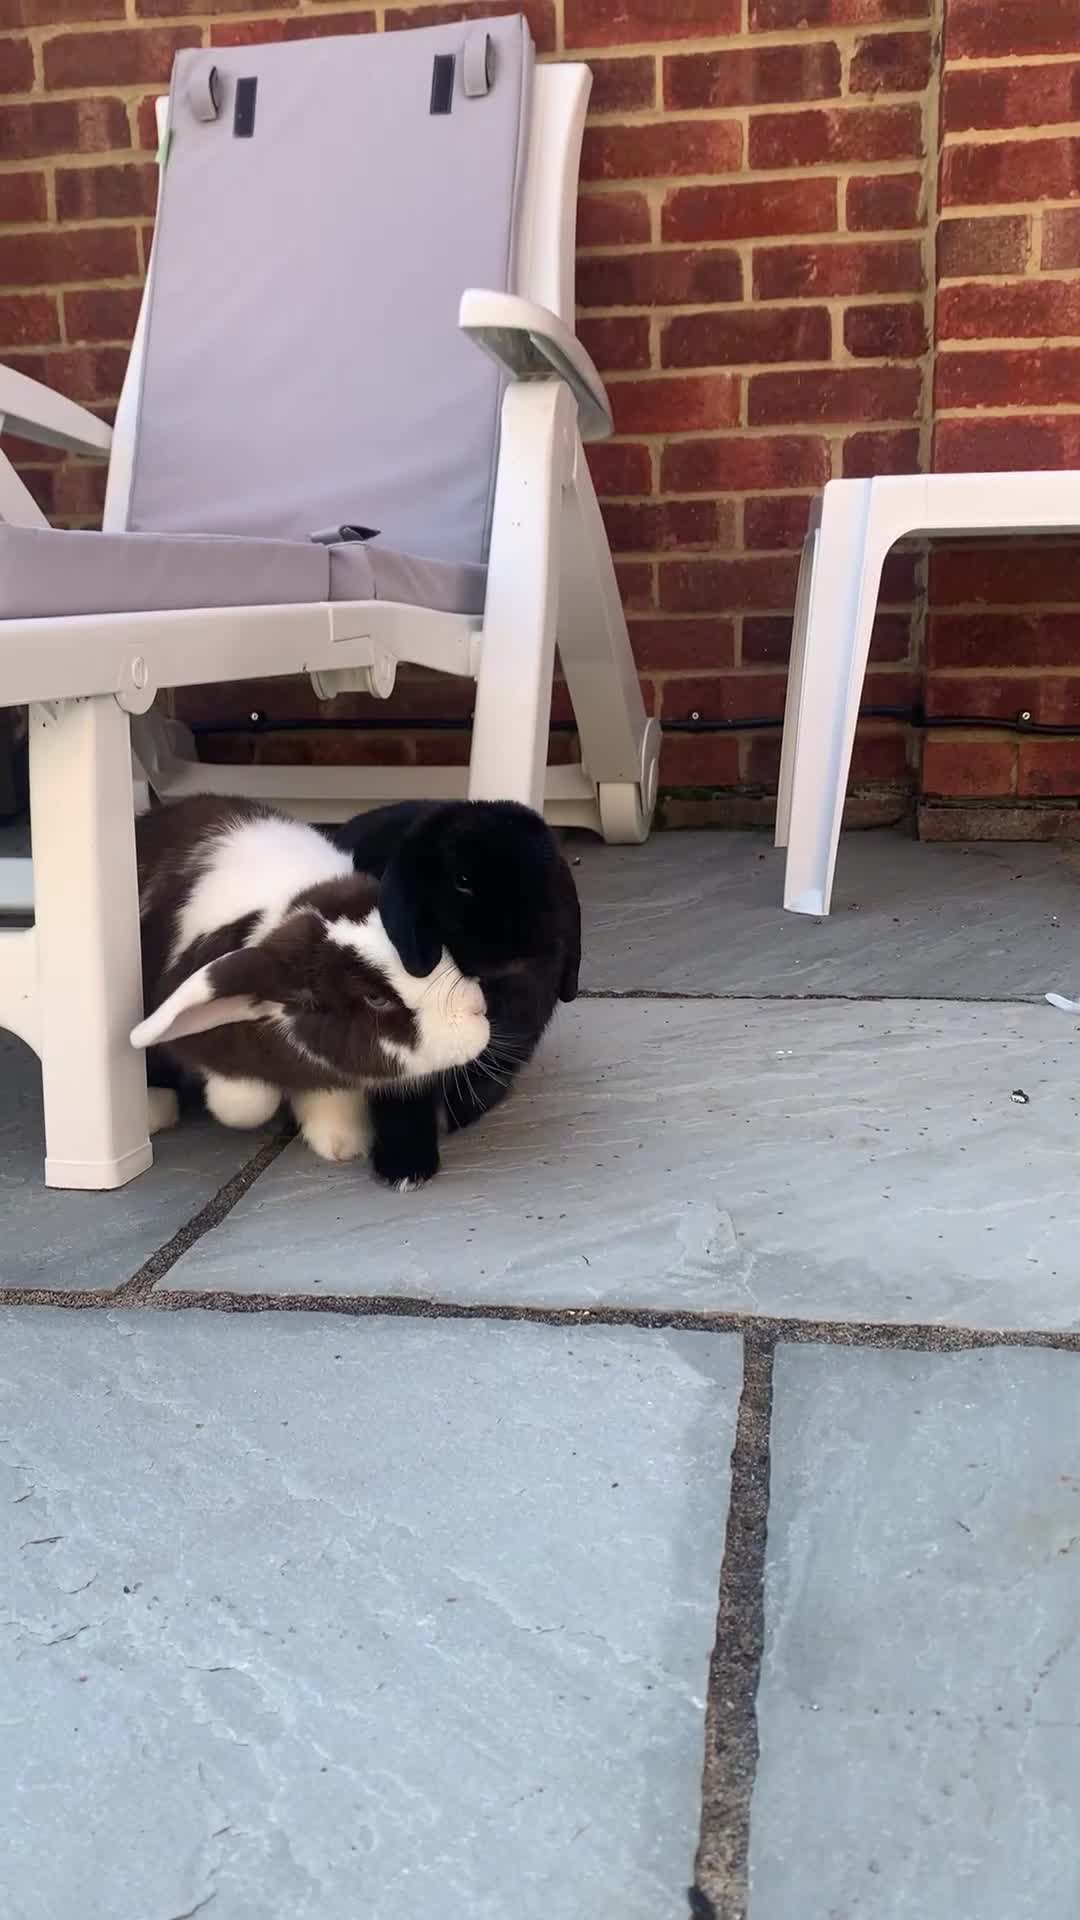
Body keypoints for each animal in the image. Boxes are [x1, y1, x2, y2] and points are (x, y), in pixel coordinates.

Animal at [132, 796, 490, 1167]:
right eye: (376, 998)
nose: (477, 1009)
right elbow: (246, 1105)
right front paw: (232, 1097)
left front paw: (342, 1143)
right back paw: (156, 1110)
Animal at [329, 799, 581, 1189]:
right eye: (461, 881)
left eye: (548, 876)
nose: (520, 953)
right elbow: (400, 1100)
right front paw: (405, 1169)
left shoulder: (518, 1035)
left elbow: (489, 1077)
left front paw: (457, 1115)